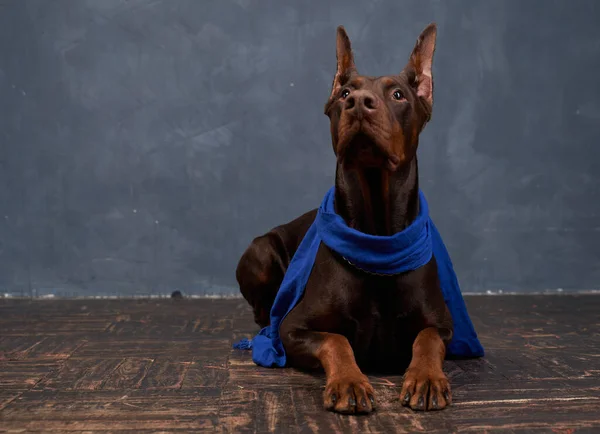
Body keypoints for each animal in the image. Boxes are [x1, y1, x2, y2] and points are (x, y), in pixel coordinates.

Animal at [237, 22, 452, 414]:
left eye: (398, 94)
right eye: (345, 93)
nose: (358, 103)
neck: (377, 237)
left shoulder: (444, 325)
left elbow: (427, 338)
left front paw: (426, 378)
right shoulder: (293, 329)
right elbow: (336, 340)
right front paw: (350, 382)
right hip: (260, 252)